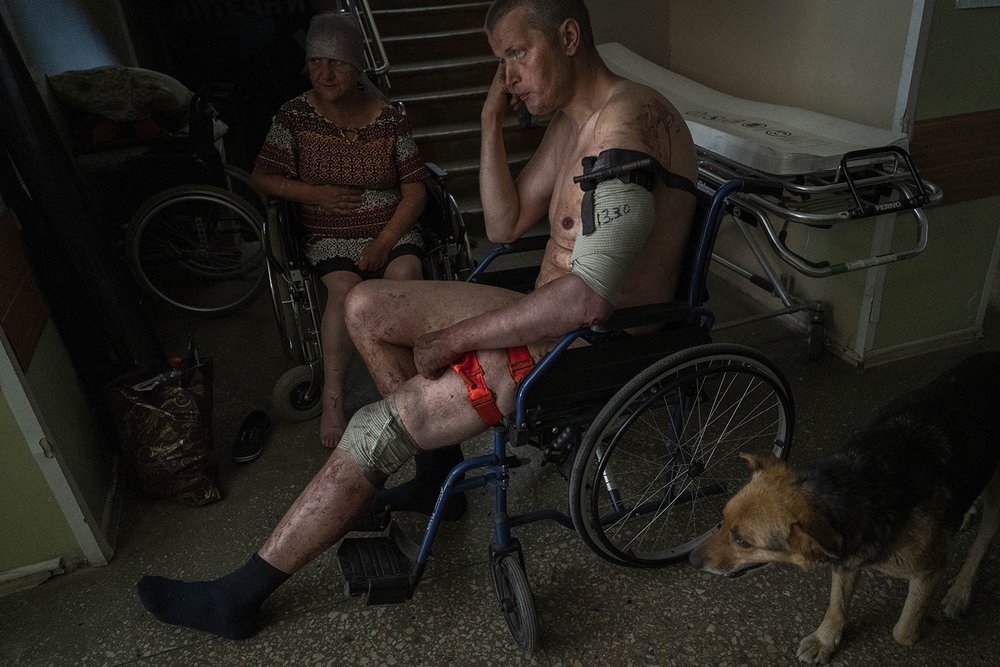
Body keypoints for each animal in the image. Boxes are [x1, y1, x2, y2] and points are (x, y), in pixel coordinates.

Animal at [688, 352, 1000, 664]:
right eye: (721, 520)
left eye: (743, 542)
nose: (691, 560)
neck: (853, 489)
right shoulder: (845, 562)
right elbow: (836, 606)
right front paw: (825, 640)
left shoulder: (929, 571)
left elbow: (903, 629)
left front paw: (926, 625)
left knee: (983, 542)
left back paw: (961, 591)